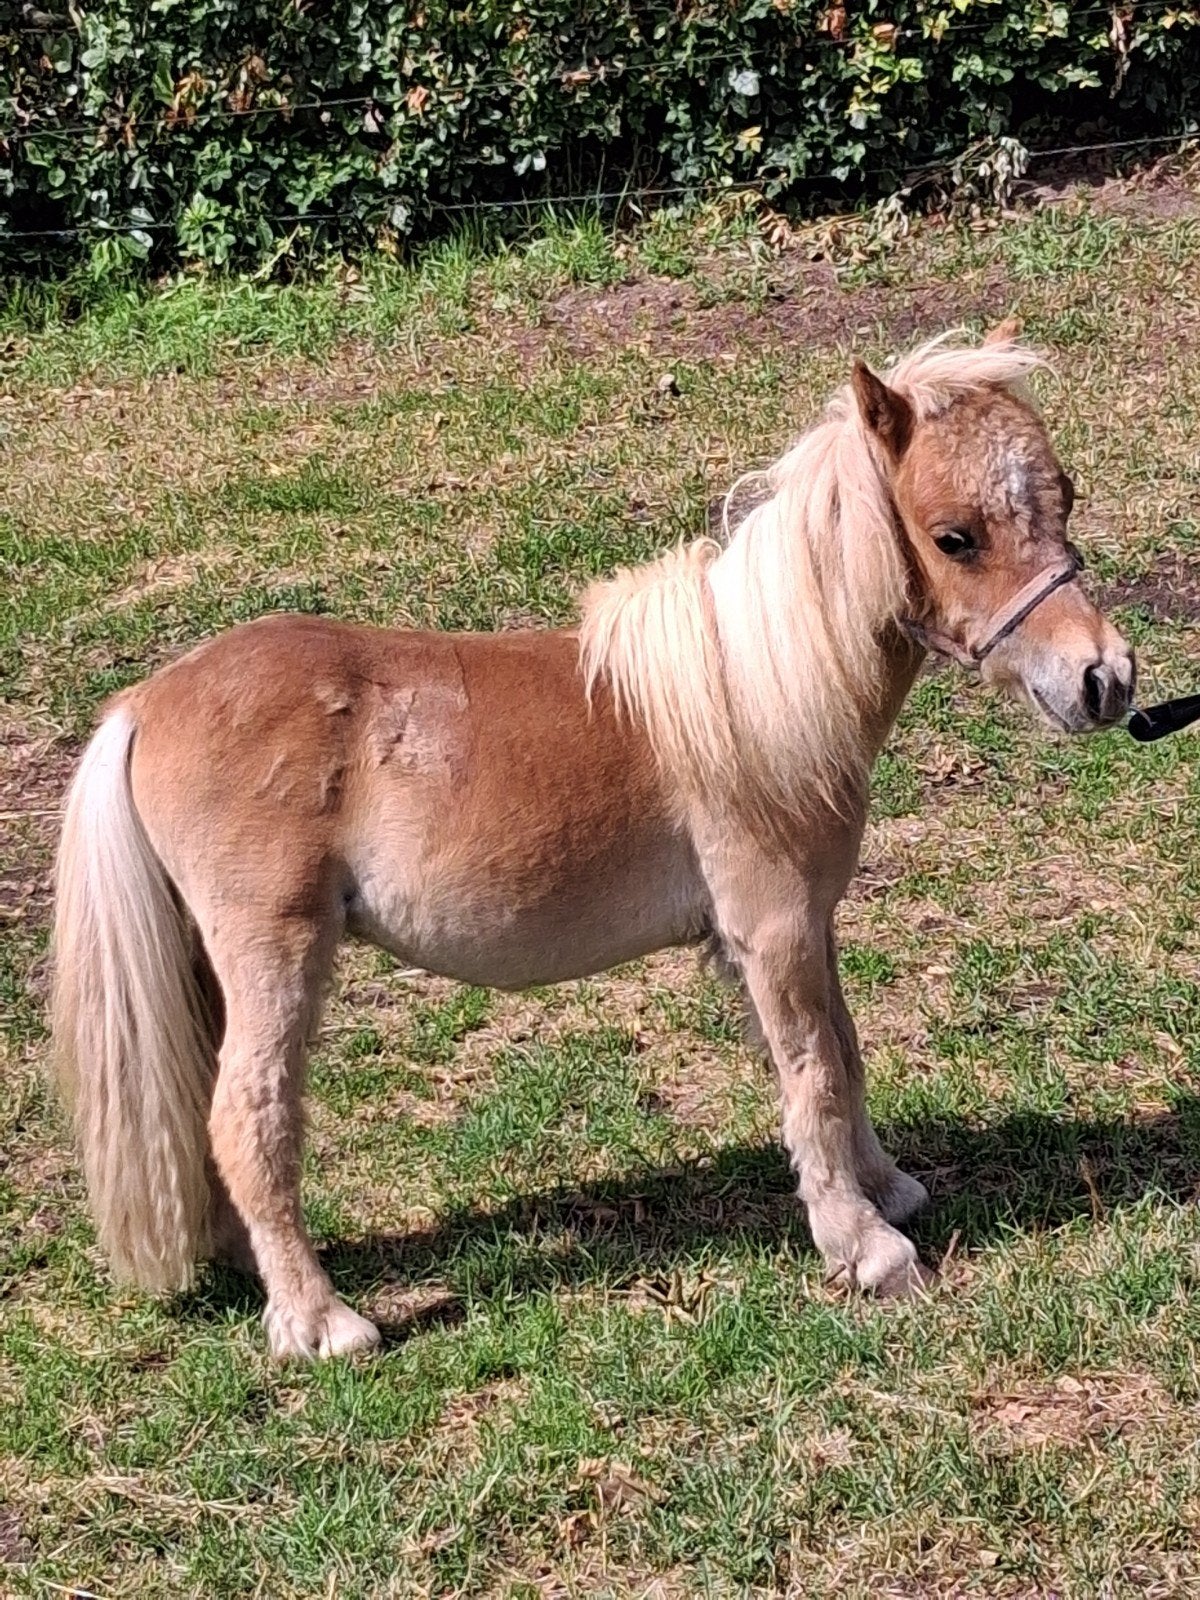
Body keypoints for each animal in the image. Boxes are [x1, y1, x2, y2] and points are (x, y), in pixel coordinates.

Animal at [51, 325, 1136, 1359]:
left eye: (1066, 497)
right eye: (955, 537)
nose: (1105, 680)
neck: (753, 691)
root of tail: (143, 703)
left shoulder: (804, 930)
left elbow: (842, 1050)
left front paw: (887, 1189)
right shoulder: (773, 930)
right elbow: (814, 1076)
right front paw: (866, 1249)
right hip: (274, 955)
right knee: (250, 1119)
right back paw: (322, 1321)